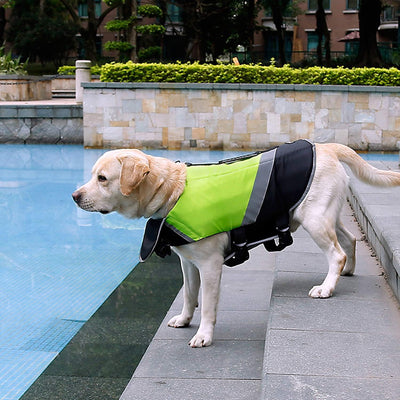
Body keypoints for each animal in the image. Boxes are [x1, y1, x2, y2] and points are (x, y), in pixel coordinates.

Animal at [72, 141, 400, 346]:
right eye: (93, 175)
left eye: (102, 178)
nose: (75, 196)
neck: (172, 190)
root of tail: (327, 146)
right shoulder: (188, 263)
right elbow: (189, 295)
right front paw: (185, 319)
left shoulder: (210, 265)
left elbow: (207, 306)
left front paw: (204, 336)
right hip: (327, 215)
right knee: (350, 240)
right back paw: (346, 273)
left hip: (316, 220)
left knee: (337, 253)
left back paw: (327, 287)